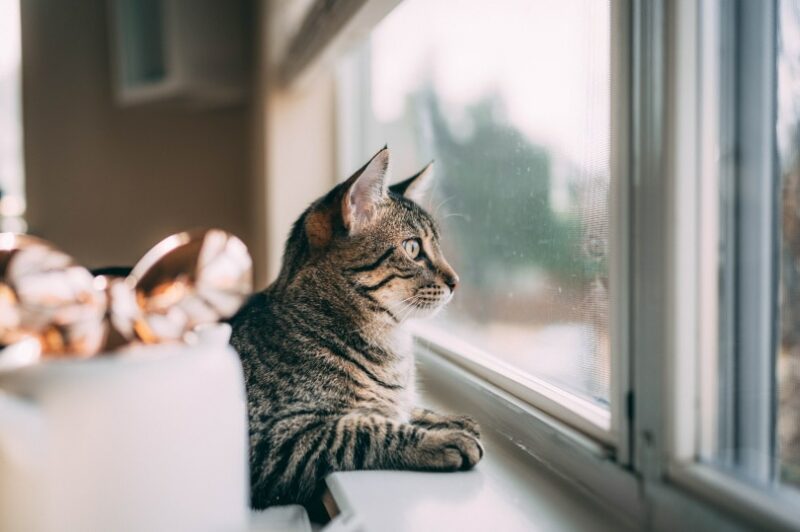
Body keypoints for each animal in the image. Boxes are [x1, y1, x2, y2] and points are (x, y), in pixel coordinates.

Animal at [228, 147, 484, 512]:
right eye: (413, 248)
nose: (456, 281)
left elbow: (403, 409)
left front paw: (443, 417)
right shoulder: (270, 443)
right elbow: (365, 430)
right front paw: (441, 439)